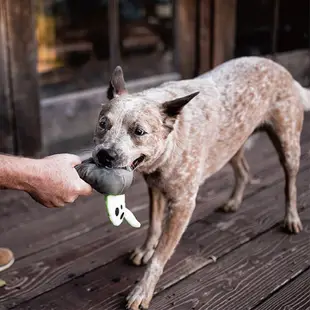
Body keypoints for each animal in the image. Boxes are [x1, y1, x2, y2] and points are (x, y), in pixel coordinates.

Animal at [92, 57, 310, 308]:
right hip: (232, 143)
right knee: (244, 171)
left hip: (288, 146)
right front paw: (146, 249)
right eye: (102, 124)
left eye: (139, 132)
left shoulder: (182, 205)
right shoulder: (155, 188)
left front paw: (142, 291)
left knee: (290, 185)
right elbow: (153, 225)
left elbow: (160, 257)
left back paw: (291, 218)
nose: (105, 155)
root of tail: (282, 69)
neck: (169, 143)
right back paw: (233, 202)